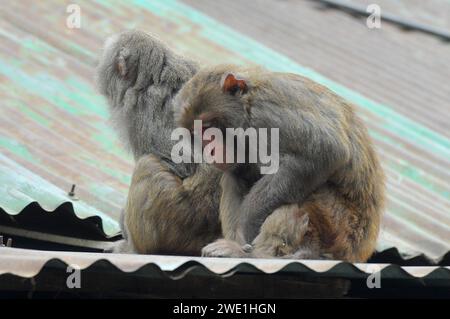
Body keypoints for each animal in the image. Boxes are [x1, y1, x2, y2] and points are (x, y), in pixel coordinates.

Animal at [174, 65, 384, 262]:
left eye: (208, 128)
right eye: (195, 134)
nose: (209, 151)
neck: (247, 104)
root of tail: (355, 255)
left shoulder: (267, 114)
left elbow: (326, 151)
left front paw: (247, 231)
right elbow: (239, 174)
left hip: (339, 227)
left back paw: (258, 255)